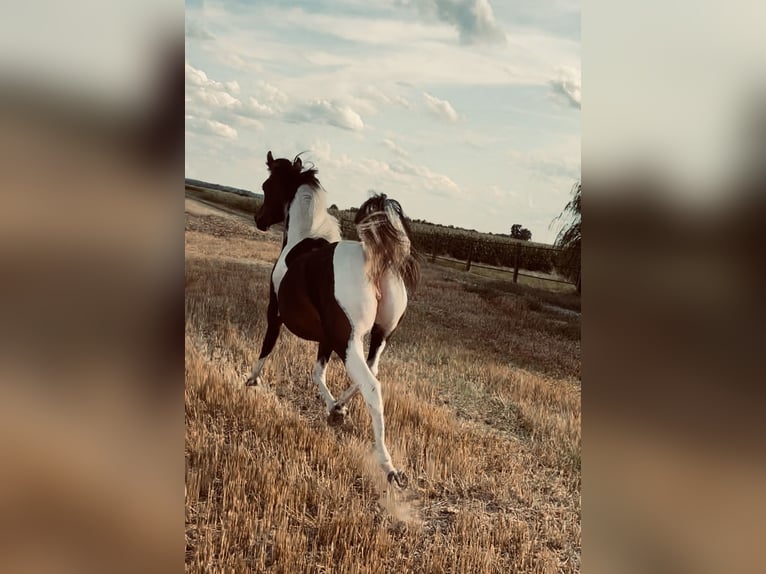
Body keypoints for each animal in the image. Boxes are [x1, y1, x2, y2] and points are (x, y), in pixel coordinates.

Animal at [248, 151, 420, 488]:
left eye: (266, 185)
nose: (259, 221)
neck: (302, 240)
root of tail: (375, 262)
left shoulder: (274, 314)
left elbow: (266, 349)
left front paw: (251, 380)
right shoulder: (326, 338)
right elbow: (318, 374)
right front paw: (333, 410)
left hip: (348, 342)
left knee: (372, 387)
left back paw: (389, 467)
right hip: (377, 337)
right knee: (371, 371)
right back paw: (341, 408)